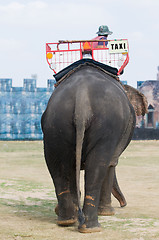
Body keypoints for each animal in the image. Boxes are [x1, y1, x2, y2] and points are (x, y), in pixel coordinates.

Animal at [41, 61, 148, 233]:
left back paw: (66, 220)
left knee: (58, 164)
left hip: (55, 124)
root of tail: (81, 98)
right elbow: (111, 164)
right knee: (98, 165)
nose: (123, 204)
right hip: (106, 126)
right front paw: (107, 213)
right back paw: (92, 227)